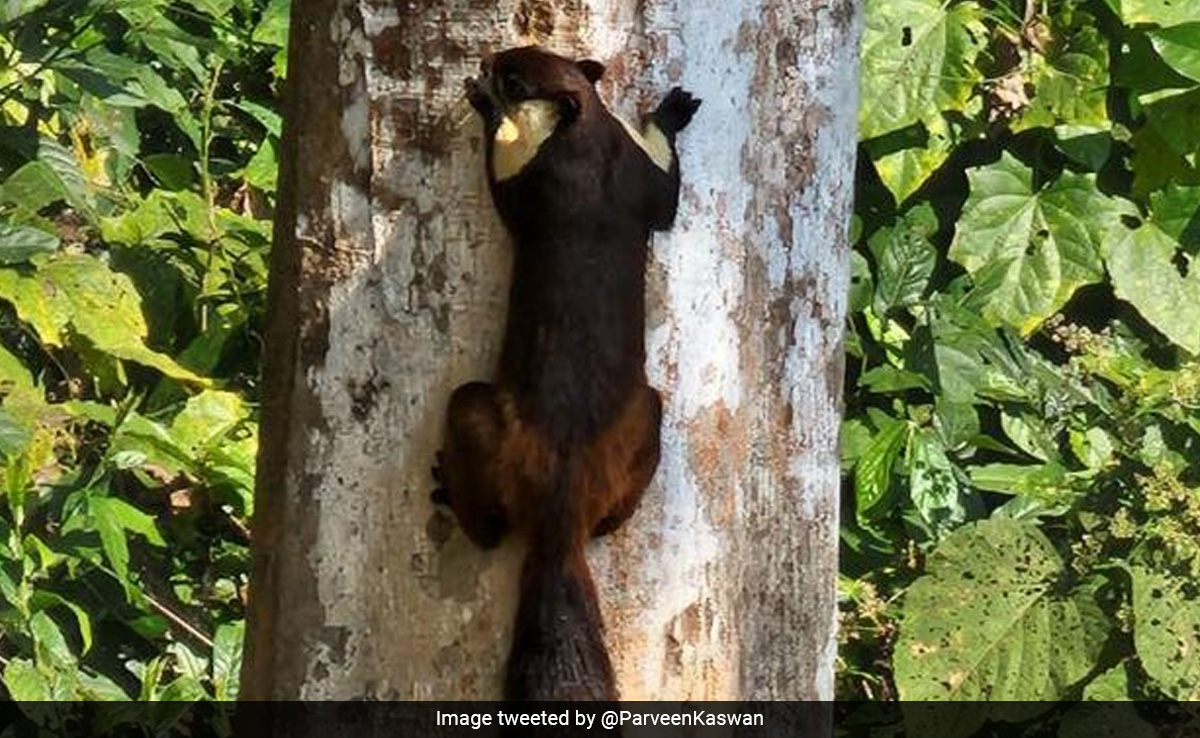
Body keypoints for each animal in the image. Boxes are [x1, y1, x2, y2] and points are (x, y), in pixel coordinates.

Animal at [433, 45, 699, 701]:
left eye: (515, 79)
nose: (487, 62)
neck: (589, 143)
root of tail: (561, 512)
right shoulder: (639, 178)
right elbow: (668, 195)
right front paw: (673, 111)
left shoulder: (537, 185)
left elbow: (503, 190)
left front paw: (482, 108)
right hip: (648, 415)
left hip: (471, 411)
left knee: (488, 528)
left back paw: (445, 486)